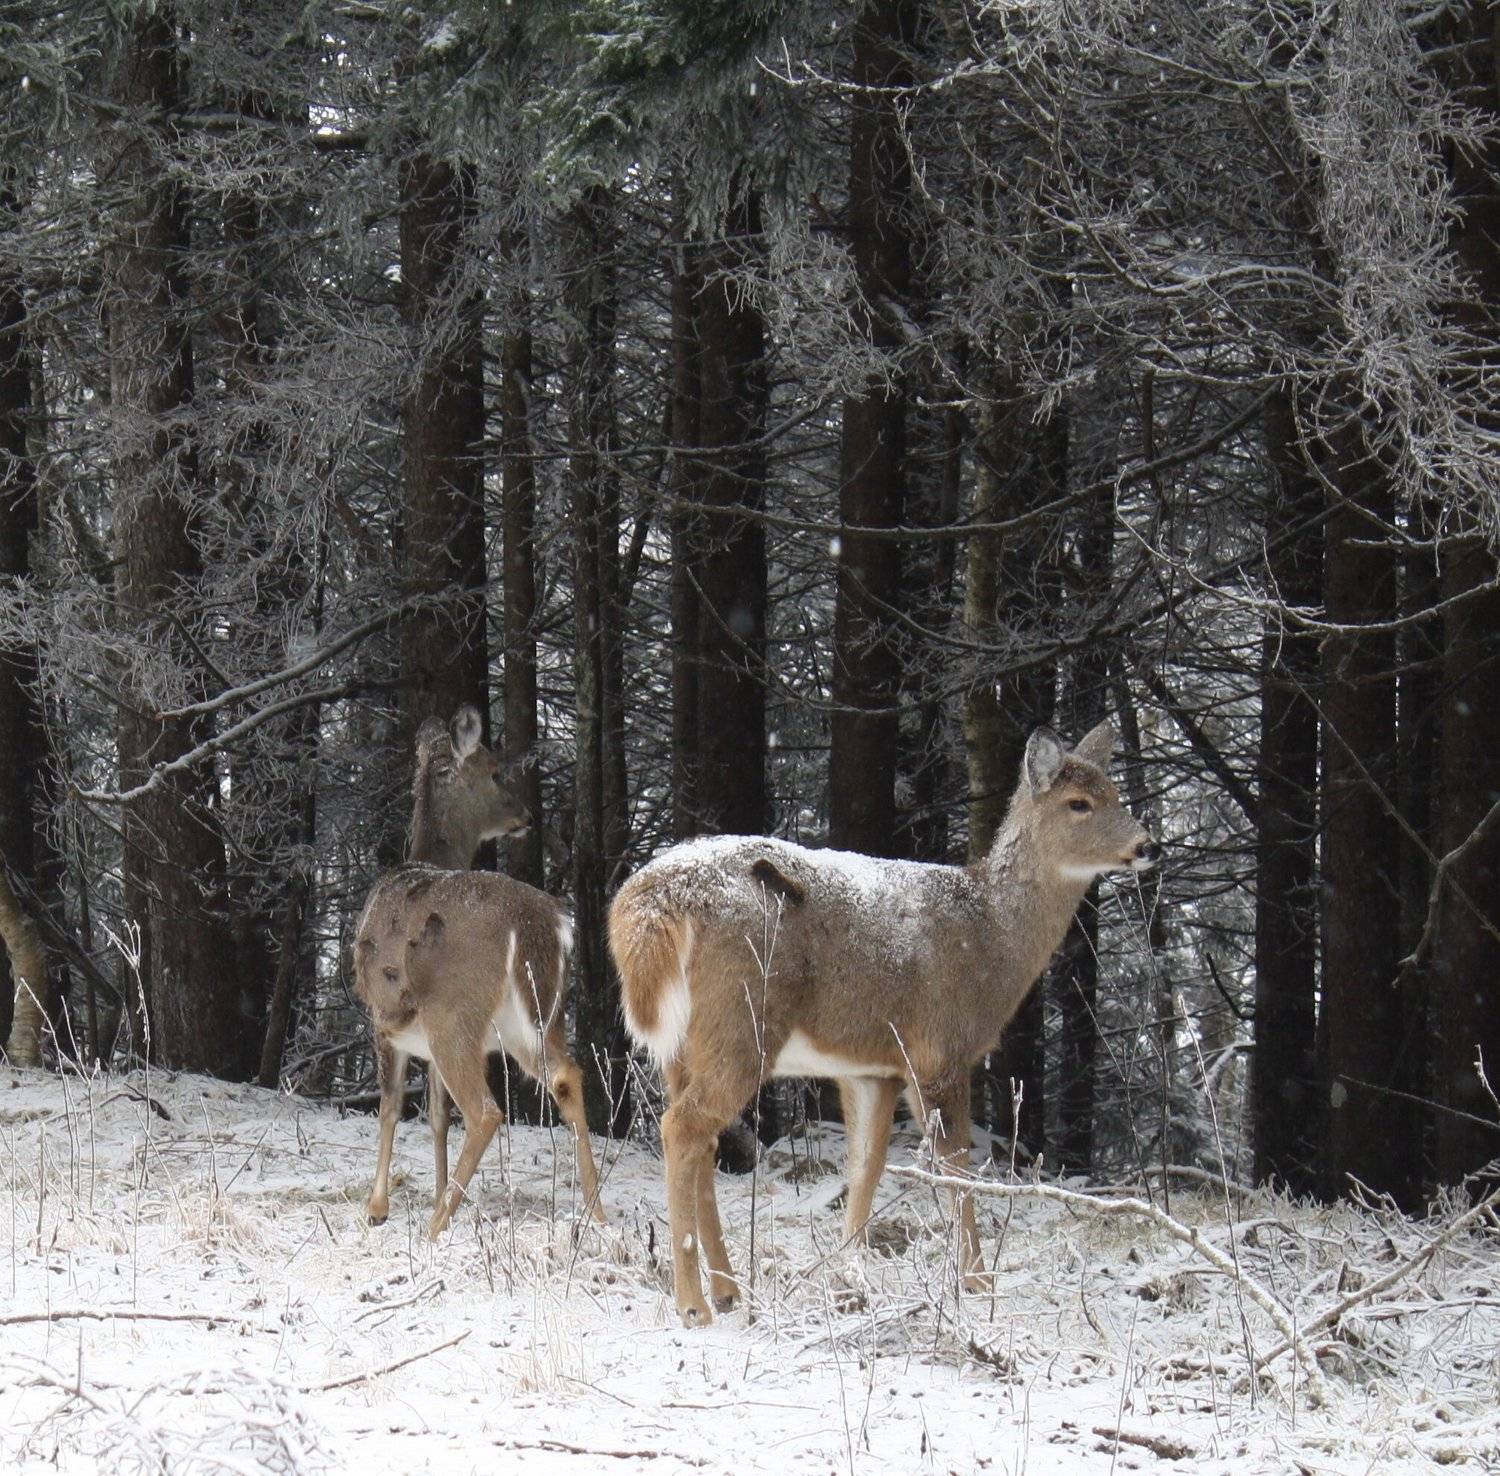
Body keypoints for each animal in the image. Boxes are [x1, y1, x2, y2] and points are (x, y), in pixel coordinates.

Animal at [354, 705, 604, 1238]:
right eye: (495, 772)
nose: (526, 815)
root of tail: (535, 923)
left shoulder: (383, 1018)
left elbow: (390, 1107)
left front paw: (378, 1207)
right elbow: (435, 1115)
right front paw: (433, 1191)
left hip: (456, 1014)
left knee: (486, 1111)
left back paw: (435, 1229)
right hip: (536, 1017)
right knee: (567, 1076)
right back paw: (597, 1211)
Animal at [608, 722, 1157, 1326]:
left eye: (1115, 792)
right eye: (1079, 802)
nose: (1147, 845)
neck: (992, 938)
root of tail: (645, 907)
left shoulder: (872, 1068)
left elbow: (865, 1167)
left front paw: (848, 1275)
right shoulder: (940, 1050)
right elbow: (956, 1168)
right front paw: (977, 1281)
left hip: (682, 1046)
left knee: (699, 1135)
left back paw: (729, 1291)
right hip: (741, 1020)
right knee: (682, 1128)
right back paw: (694, 1305)